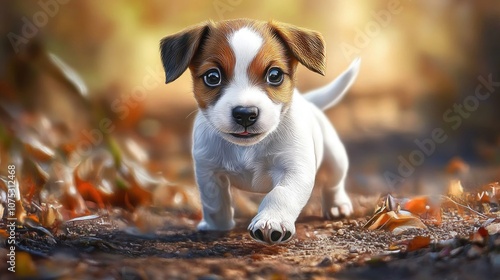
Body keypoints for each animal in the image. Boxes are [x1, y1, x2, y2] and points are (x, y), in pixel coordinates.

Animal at [160, 18, 360, 244]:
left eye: (274, 75)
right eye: (212, 77)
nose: (245, 114)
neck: (247, 148)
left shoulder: (295, 170)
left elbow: (281, 194)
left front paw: (271, 221)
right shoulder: (208, 172)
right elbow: (214, 203)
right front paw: (216, 226)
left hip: (335, 159)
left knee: (333, 183)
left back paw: (336, 205)